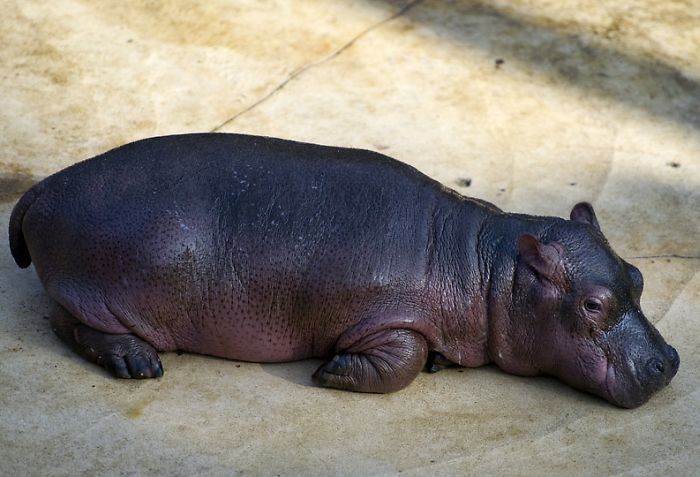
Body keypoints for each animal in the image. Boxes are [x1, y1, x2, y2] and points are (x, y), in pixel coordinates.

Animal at [9, 133, 680, 406]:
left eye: (638, 276)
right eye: (592, 304)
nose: (669, 362)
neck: (487, 267)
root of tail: (44, 187)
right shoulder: (383, 317)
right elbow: (402, 359)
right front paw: (332, 372)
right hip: (104, 291)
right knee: (68, 324)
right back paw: (138, 363)